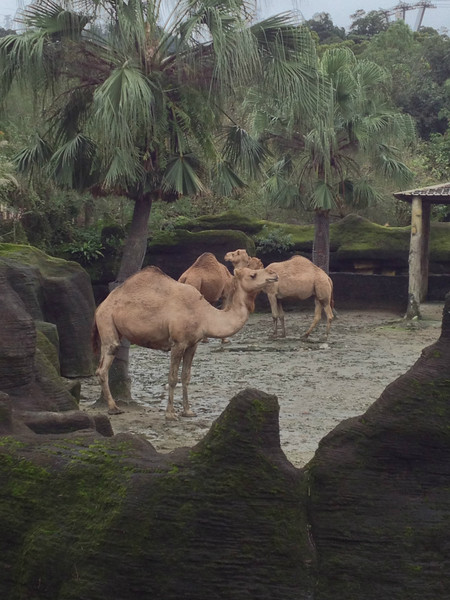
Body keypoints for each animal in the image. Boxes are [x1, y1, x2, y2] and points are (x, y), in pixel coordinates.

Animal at [91, 264, 278, 420]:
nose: (274, 275)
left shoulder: (192, 344)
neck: (205, 315)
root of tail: (100, 306)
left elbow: (186, 377)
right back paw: (113, 408)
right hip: (107, 322)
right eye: (253, 274)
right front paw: (170, 414)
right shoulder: (178, 343)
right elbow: (173, 378)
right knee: (103, 366)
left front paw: (188, 411)